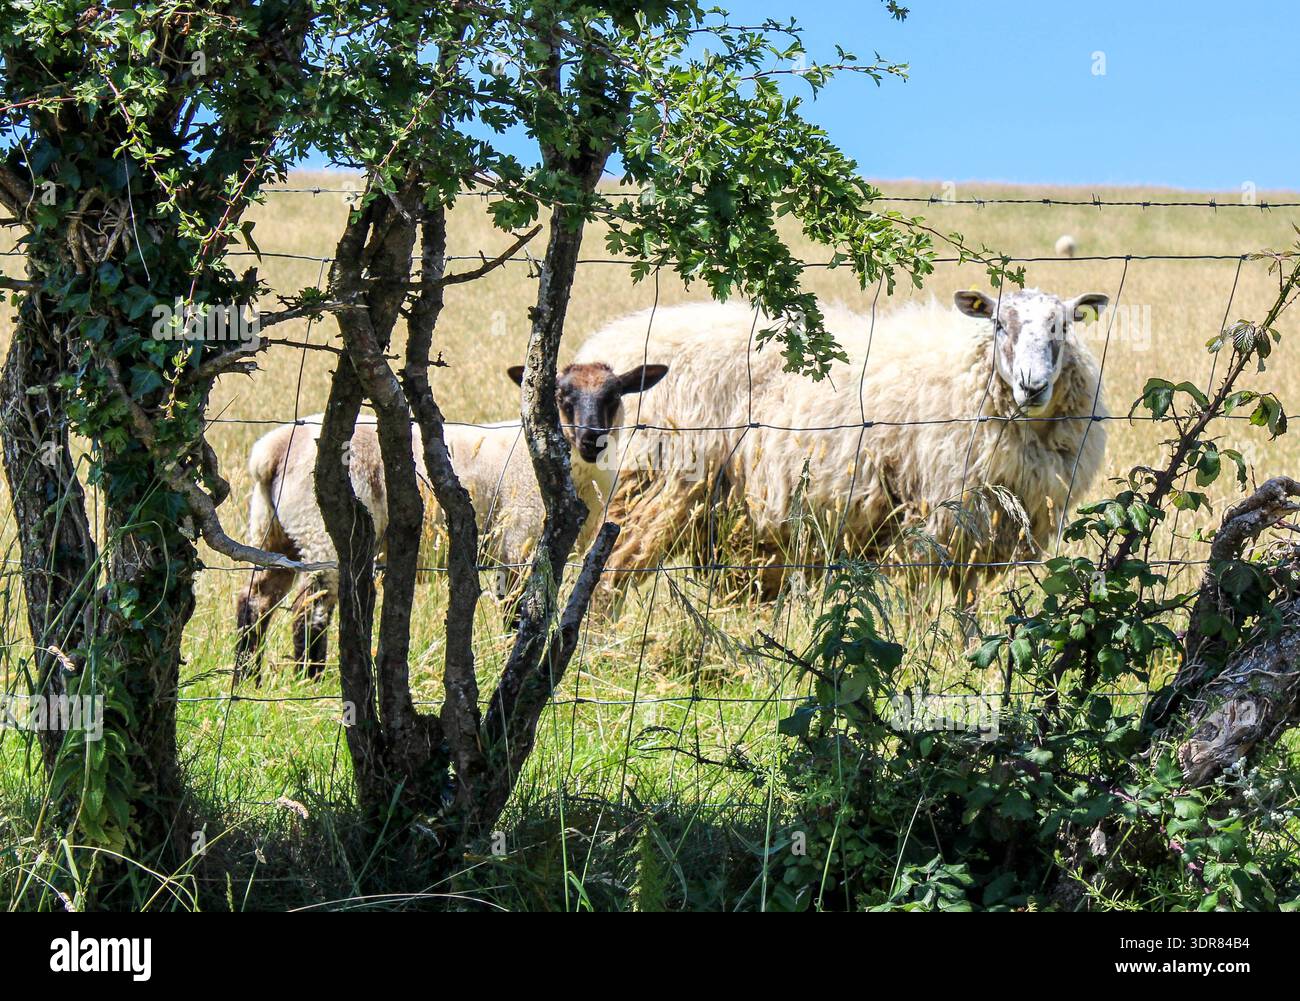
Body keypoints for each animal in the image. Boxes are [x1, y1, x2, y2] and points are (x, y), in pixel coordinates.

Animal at [233, 361, 667, 681]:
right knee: (309, 610)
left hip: (275, 532)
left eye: (614, 395)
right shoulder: (519, 541)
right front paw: (509, 662)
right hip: (321, 533)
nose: (591, 438)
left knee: (254, 600)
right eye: (562, 396)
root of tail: (270, 452)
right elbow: (516, 612)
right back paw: (310, 679)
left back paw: (248, 679)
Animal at [576, 290, 1110, 601]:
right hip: (652, 488)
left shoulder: (981, 534)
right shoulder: (932, 519)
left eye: (1064, 326)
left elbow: (965, 611)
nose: (1032, 385)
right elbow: (916, 602)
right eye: (1000, 324)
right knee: (607, 576)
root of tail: (603, 350)